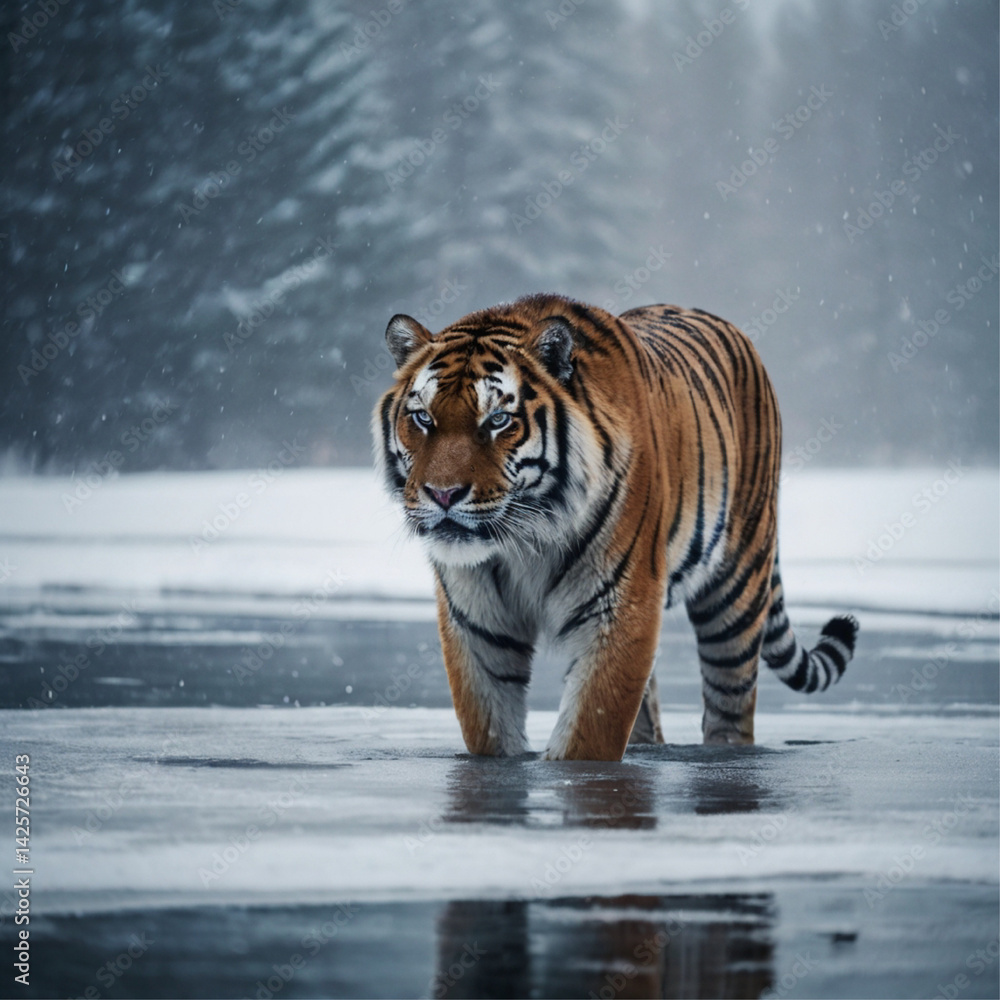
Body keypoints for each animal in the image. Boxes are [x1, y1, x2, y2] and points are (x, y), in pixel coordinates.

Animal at [373, 293, 858, 761]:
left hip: (735, 591)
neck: (526, 541)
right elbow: (488, 730)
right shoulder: (477, 623)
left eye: (498, 421)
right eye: (423, 418)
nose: (443, 494)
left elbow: (591, 732)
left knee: (731, 708)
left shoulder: (620, 608)